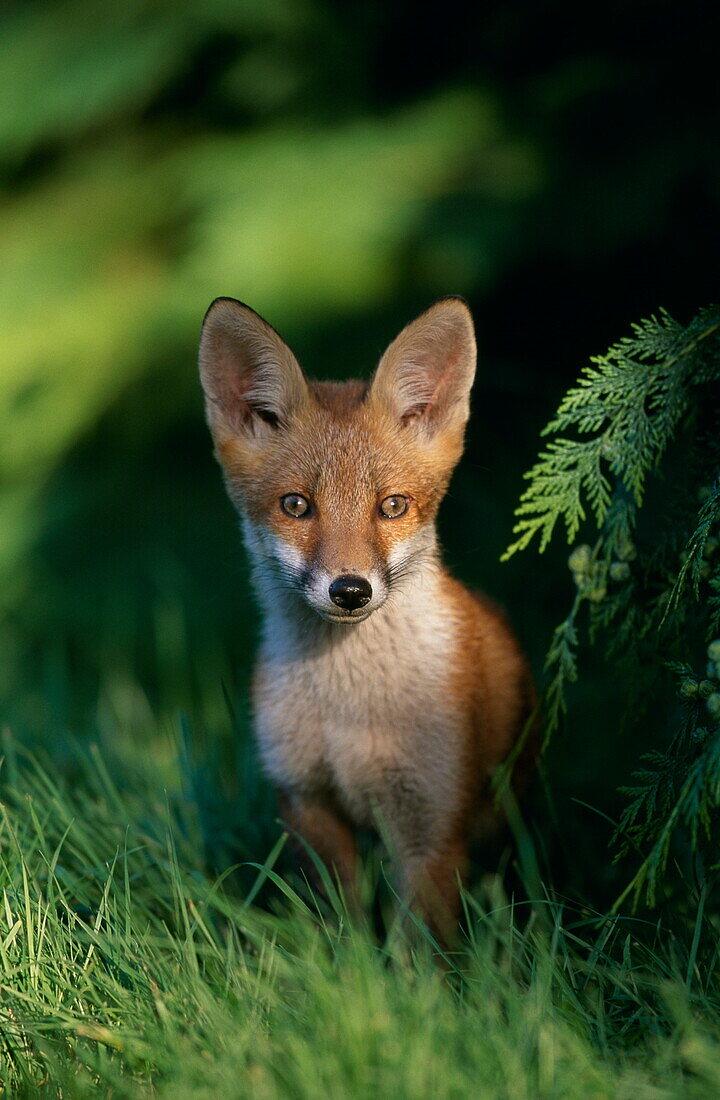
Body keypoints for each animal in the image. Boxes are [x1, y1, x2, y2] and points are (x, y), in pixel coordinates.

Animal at [196, 297, 534, 941]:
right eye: (296, 506)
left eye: (392, 506)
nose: (350, 590)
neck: (349, 711)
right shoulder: (307, 802)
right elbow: (342, 931)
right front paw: (347, 967)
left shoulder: (430, 820)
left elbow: (418, 948)